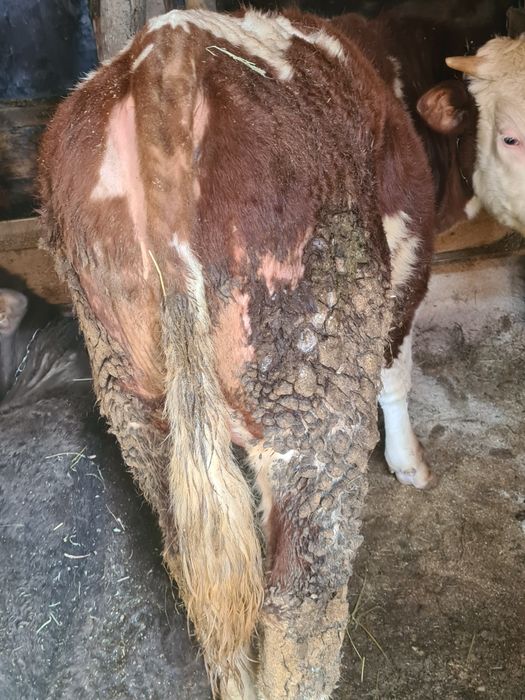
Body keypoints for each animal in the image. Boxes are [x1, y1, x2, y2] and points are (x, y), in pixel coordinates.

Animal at [37, 7, 525, 698]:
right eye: (509, 137)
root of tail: (165, 52)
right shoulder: (408, 268)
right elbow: (395, 373)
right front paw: (409, 464)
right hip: (312, 391)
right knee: (301, 604)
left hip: (135, 400)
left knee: (202, 582)